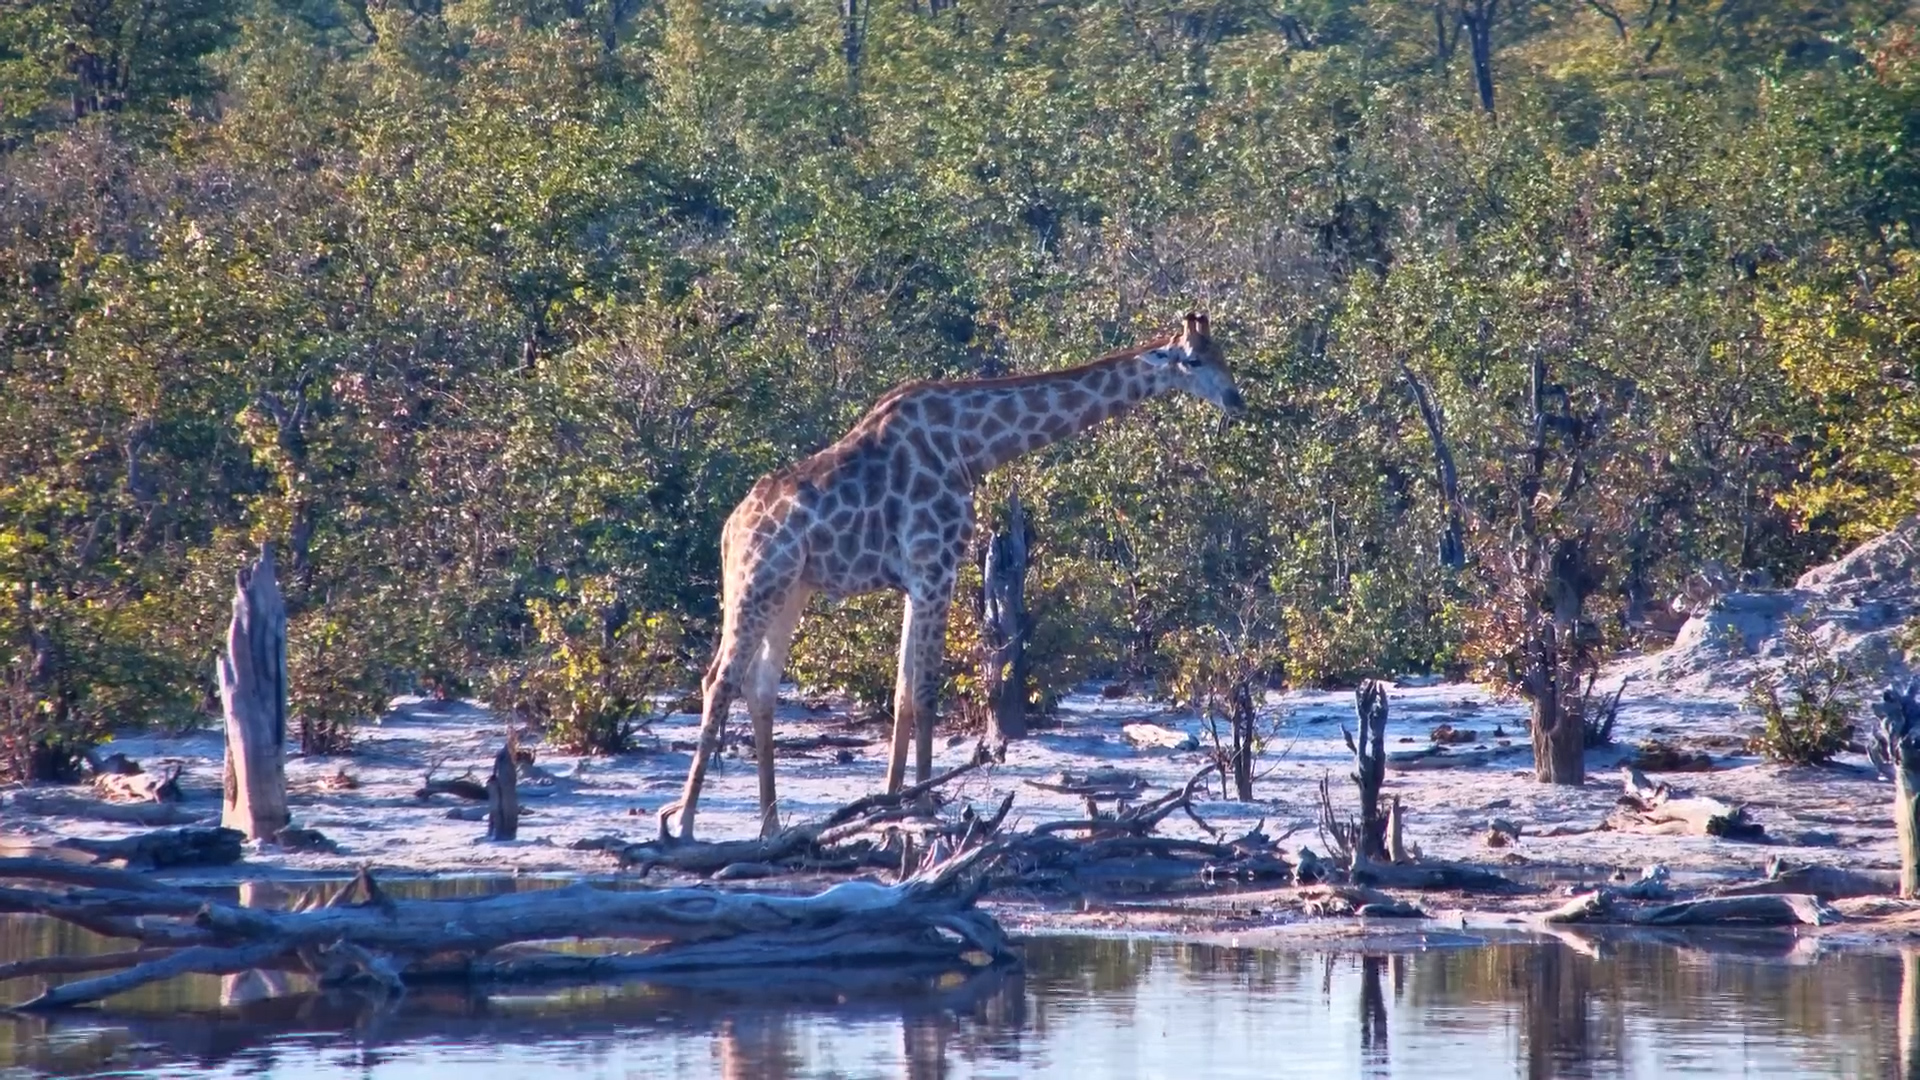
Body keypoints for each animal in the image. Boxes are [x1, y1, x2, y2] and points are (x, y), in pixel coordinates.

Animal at [663, 312, 1243, 840]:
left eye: (1222, 354)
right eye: (1193, 361)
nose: (1236, 400)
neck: (971, 446)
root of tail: (730, 530)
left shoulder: (918, 579)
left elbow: (901, 691)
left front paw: (891, 806)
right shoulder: (935, 565)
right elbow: (923, 691)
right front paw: (922, 807)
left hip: (791, 589)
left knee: (761, 687)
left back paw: (771, 826)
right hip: (759, 580)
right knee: (719, 678)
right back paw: (685, 823)